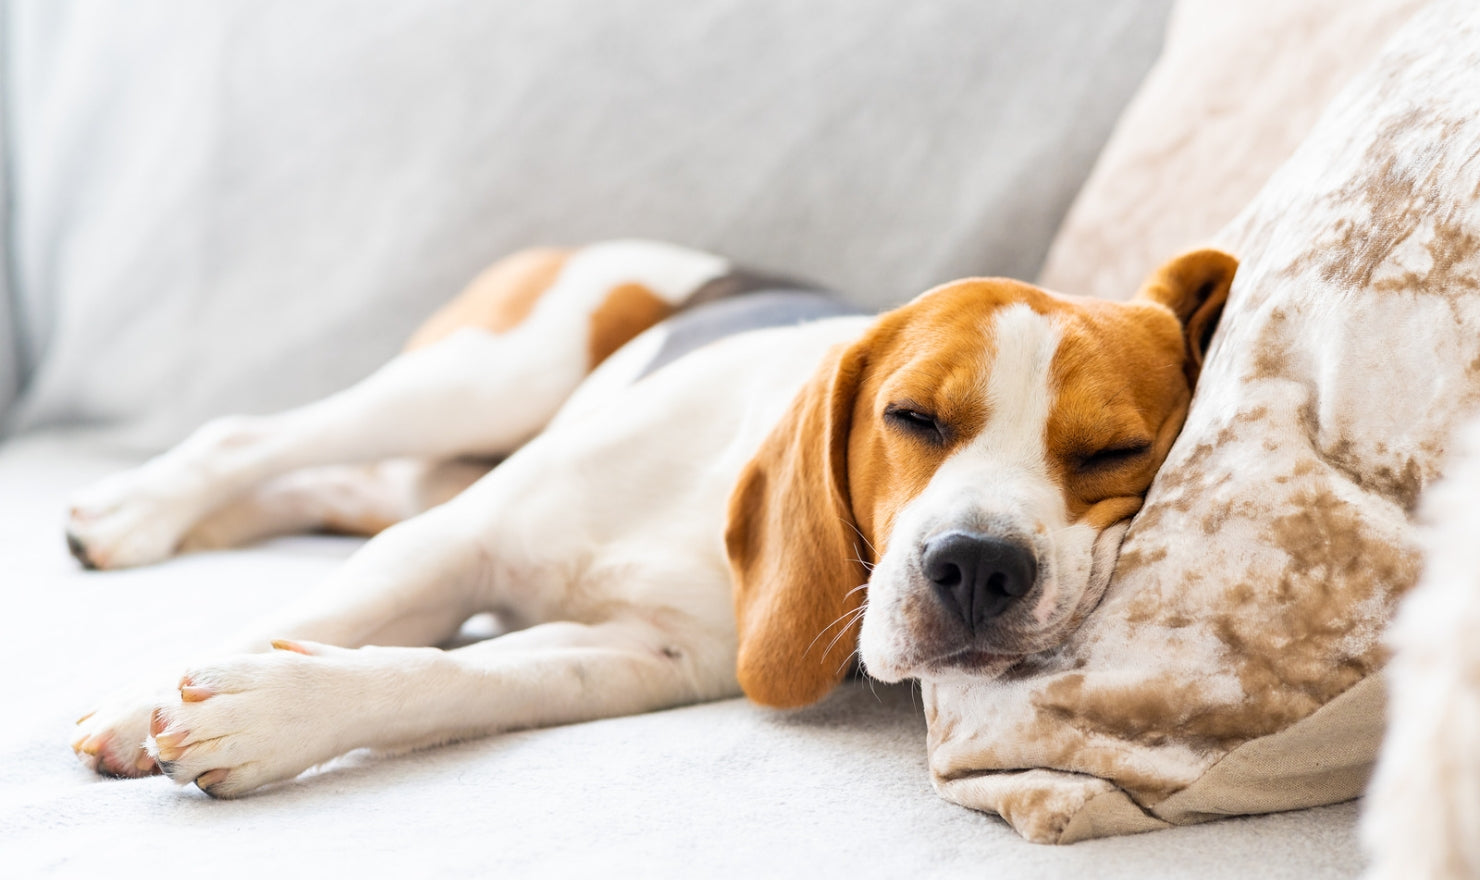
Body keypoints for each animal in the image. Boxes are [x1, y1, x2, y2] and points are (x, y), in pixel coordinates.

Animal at [63, 238, 1231, 792]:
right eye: (911, 416)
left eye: (1116, 454)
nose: (979, 566)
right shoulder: (450, 544)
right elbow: (322, 616)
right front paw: (138, 702)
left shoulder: (645, 655)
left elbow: (454, 674)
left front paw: (276, 711)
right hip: (488, 377)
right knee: (249, 438)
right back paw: (134, 511)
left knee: (321, 484)